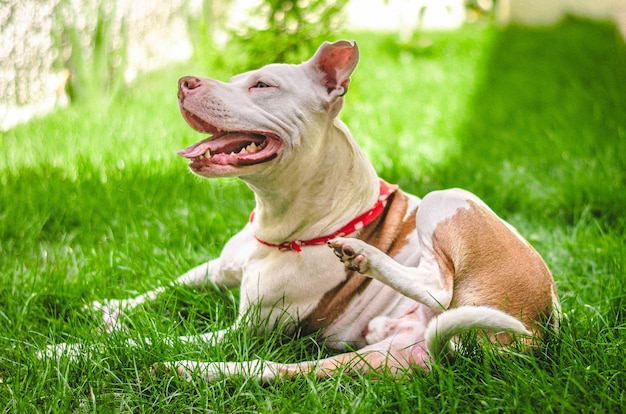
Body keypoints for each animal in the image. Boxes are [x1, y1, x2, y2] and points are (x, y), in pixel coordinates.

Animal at [46, 40, 560, 380]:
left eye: (262, 84)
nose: (185, 81)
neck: (278, 221)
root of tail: (539, 328)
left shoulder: (246, 330)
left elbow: (136, 340)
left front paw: (67, 351)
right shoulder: (220, 267)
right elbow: (166, 286)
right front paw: (106, 308)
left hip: (447, 199)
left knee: (437, 289)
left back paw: (363, 256)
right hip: (379, 357)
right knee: (271, 370)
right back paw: (190, 371)